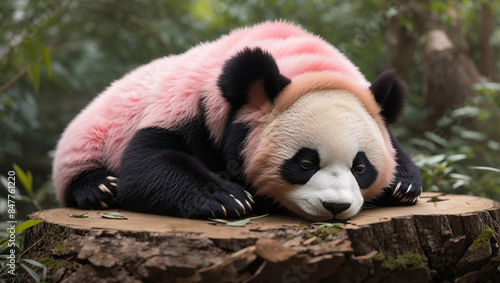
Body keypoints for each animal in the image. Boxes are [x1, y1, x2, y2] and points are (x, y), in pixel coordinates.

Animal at [52, 21, 422, 222]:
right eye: (305, 163)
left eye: (360, 167)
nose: (336, 206)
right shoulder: (193, 108)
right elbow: (148, 162)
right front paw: (227, 198)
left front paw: (402, 185)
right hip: (90, 133)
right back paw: (100, 187)